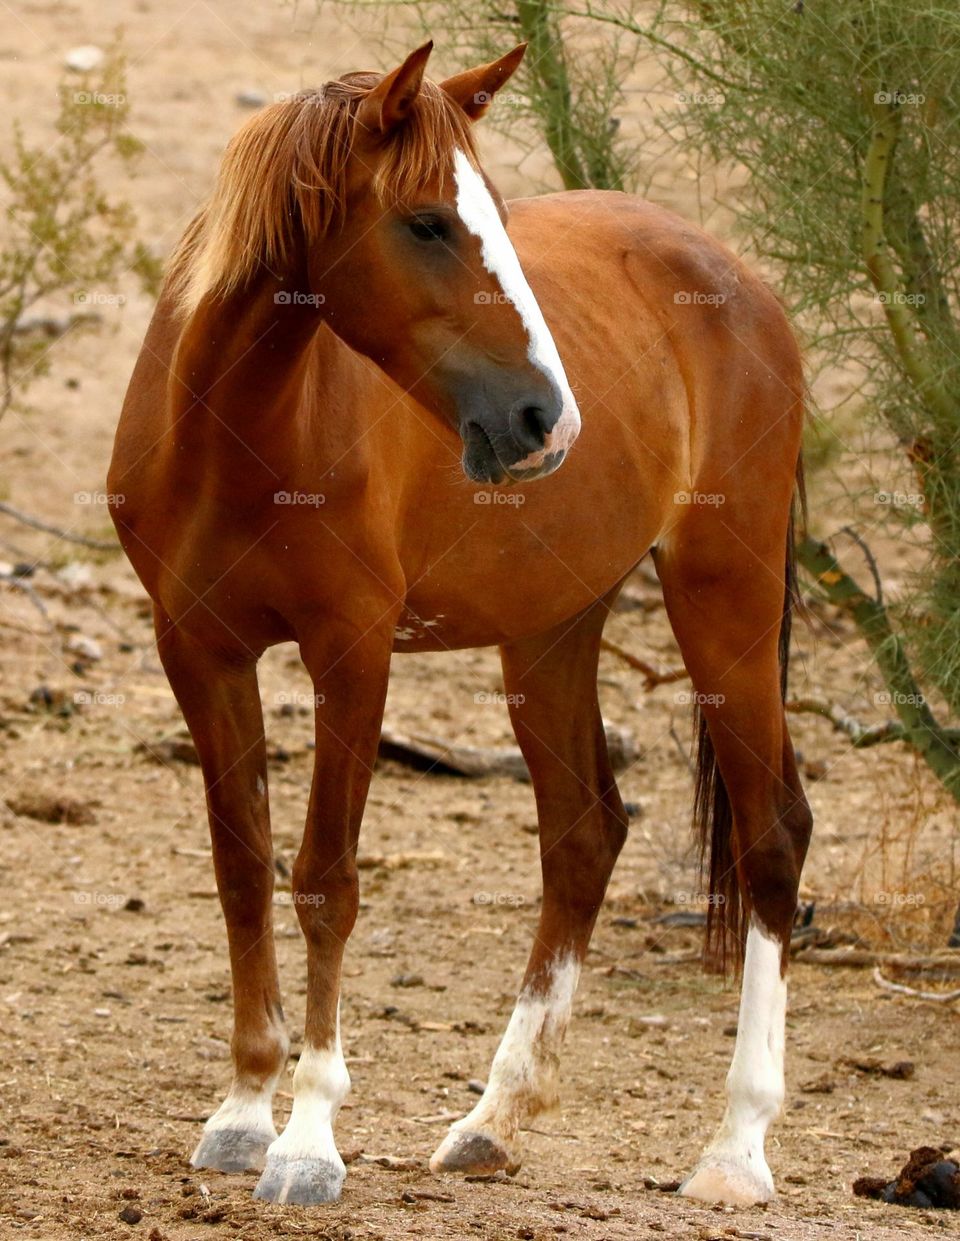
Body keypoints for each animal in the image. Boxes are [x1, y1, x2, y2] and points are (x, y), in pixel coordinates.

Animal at [108, 40, 811, 1209]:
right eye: (428, 222)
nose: (546, 420)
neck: (240, 435)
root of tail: (743, 283)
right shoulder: (197, 649)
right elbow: (242, 869)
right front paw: (243, 1111)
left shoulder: (351, 653)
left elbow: (325, 880)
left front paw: (308, 1140)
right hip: (553, 631)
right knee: (584, 834)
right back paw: (494, 1118)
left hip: (727, 606)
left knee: (771, 838)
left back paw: (736, 1146)